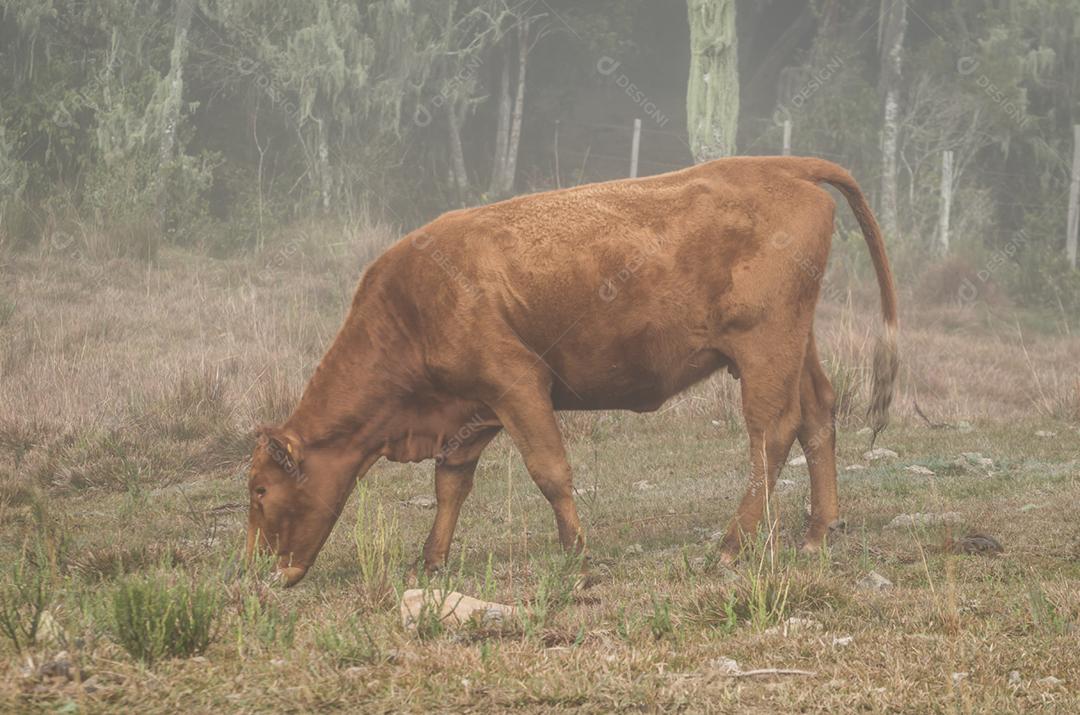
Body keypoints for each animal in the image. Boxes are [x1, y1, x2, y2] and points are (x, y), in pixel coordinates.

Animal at [245, 156, 894, 587]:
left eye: (259, 489)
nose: (254, 569)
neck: (412, 305)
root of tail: (781, 165)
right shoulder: (472, 411)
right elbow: (450, 483)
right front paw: (430, 560)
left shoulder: (517, 384)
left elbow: (550, 471)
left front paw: (577, 551)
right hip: (794, 347)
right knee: (818, 415)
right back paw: (816, 534)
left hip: (764, 347)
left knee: (771, 433)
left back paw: (732, 546)